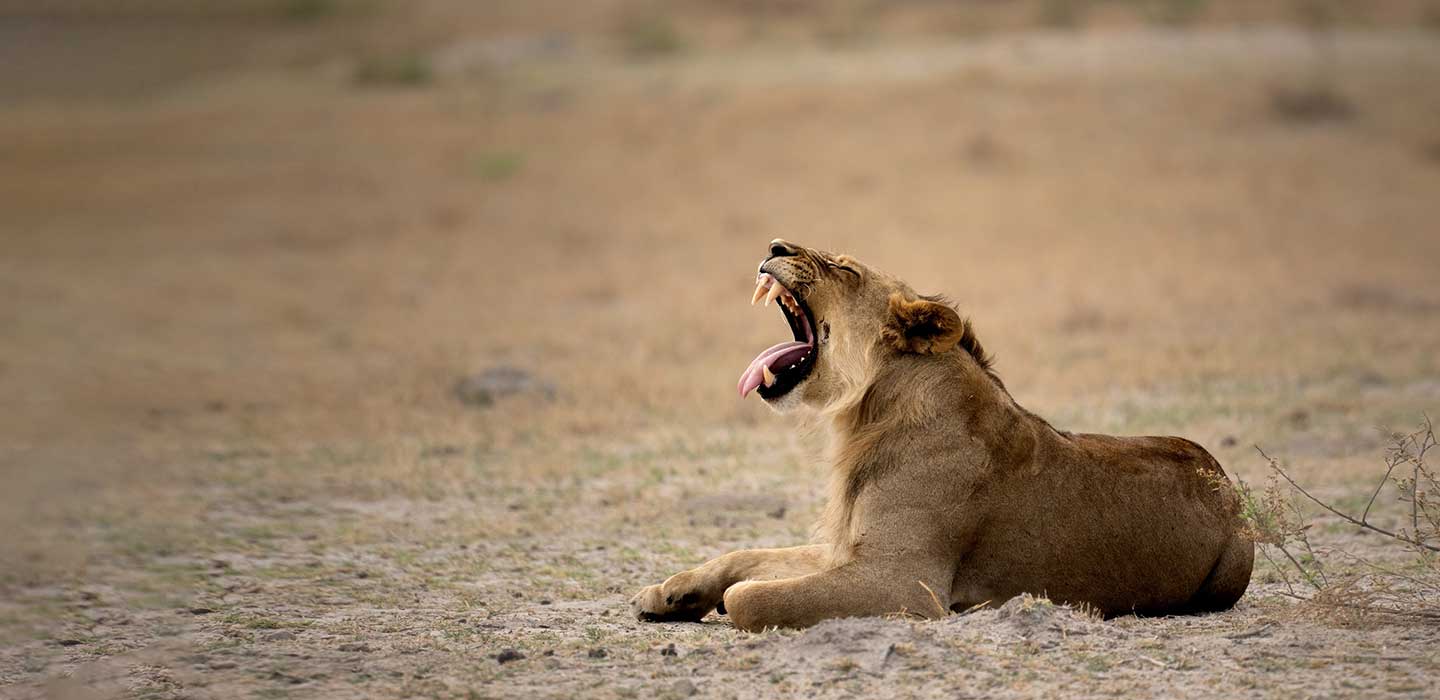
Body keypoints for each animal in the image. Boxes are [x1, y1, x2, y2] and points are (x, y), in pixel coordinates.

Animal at [630, 239, 1249, 627]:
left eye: (846, 271)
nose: (776, 246)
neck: (867, 414)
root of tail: (1222, 476)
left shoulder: (902, 582)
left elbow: (749, 598)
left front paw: (714, 601)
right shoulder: (846, 549)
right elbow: (743, 556)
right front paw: (669, 593)